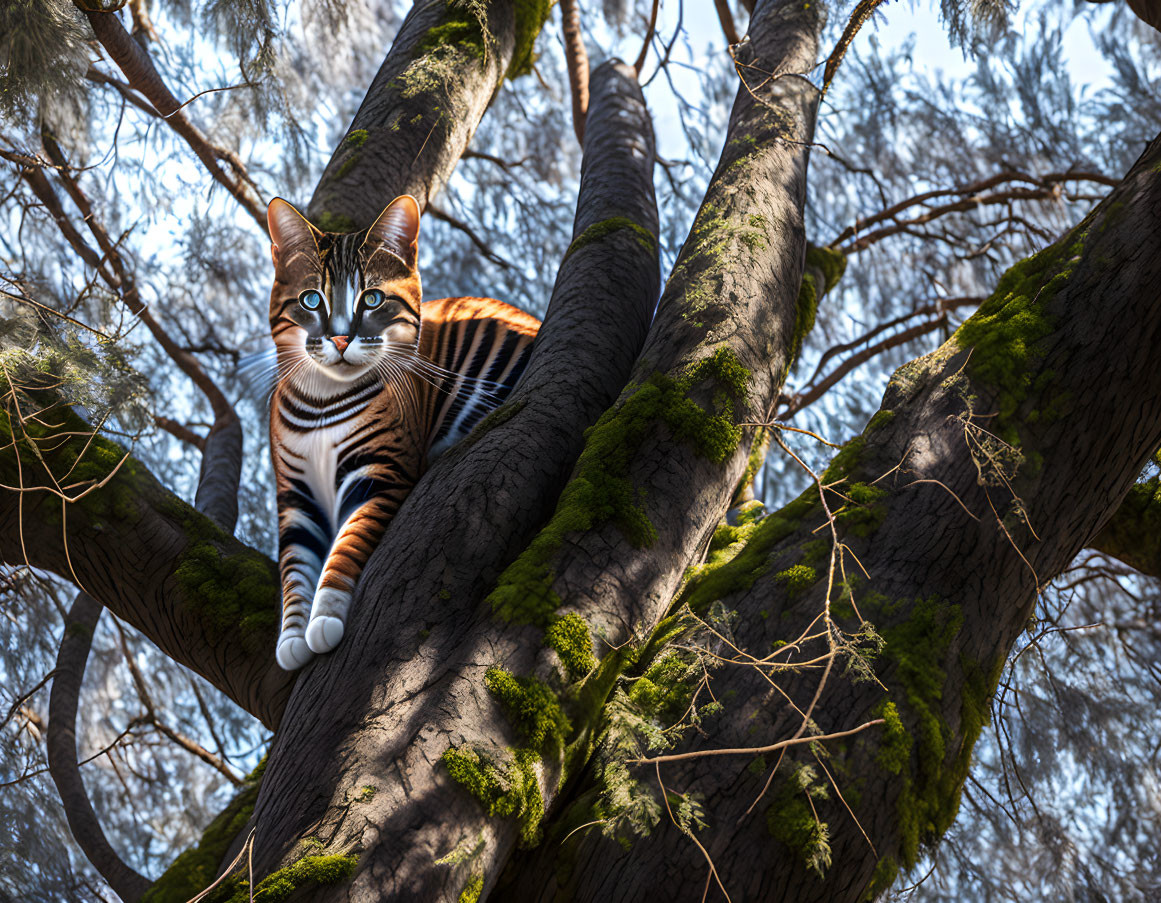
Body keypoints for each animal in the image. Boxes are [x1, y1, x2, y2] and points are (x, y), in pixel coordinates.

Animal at [265, 191, 538, 668]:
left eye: (372, 299)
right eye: (312, 301)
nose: (340, 340)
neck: (321, 401)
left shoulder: (379, 473)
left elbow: (347, 543)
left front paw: (325, 618)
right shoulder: (296, 498)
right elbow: (294, 567)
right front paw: (293, 637)